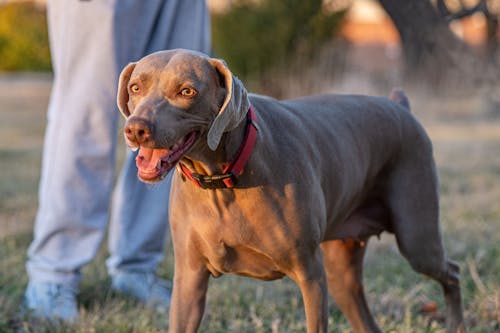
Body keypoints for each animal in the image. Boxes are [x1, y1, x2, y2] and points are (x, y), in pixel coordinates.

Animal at [116, 48, 464, 330]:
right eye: (136, 87)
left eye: (186, 91)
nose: (136, 129)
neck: (223, 179)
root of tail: (400, 106)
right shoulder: (189, 279)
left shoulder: (310, 273)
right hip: (343, 272)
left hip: (417, 240)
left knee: (452, 271)